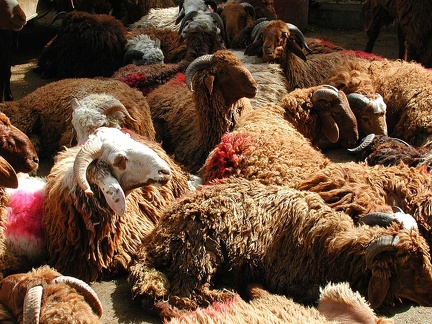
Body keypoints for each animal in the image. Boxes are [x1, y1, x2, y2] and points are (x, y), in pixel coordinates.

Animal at [129, 176, 432, 316]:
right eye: (408, 265)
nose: (431, 294)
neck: (331, 247)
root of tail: (156, 238)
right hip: (198, 253)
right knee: (184, 295)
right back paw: (226, 295)